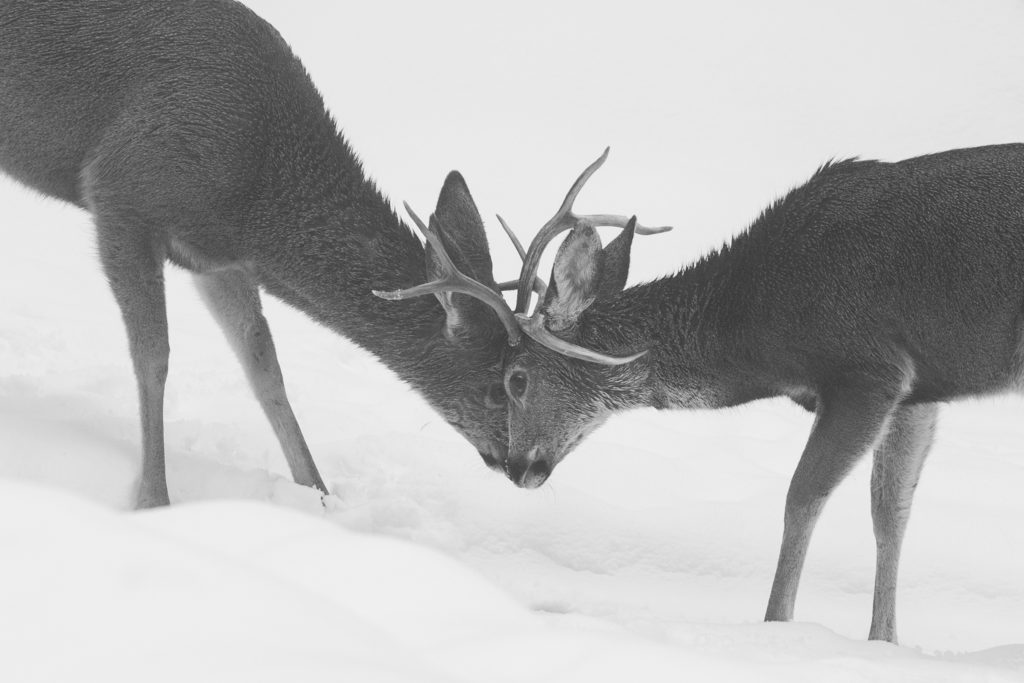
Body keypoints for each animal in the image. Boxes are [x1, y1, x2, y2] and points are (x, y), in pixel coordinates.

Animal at [380, 141, 1024, 643]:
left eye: (514, 379)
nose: (518, 468)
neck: (751, 323)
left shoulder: (868, 368)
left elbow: (801, 497)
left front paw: (776, 631)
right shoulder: (919, 390)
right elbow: (890, 510)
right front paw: (883, 643)